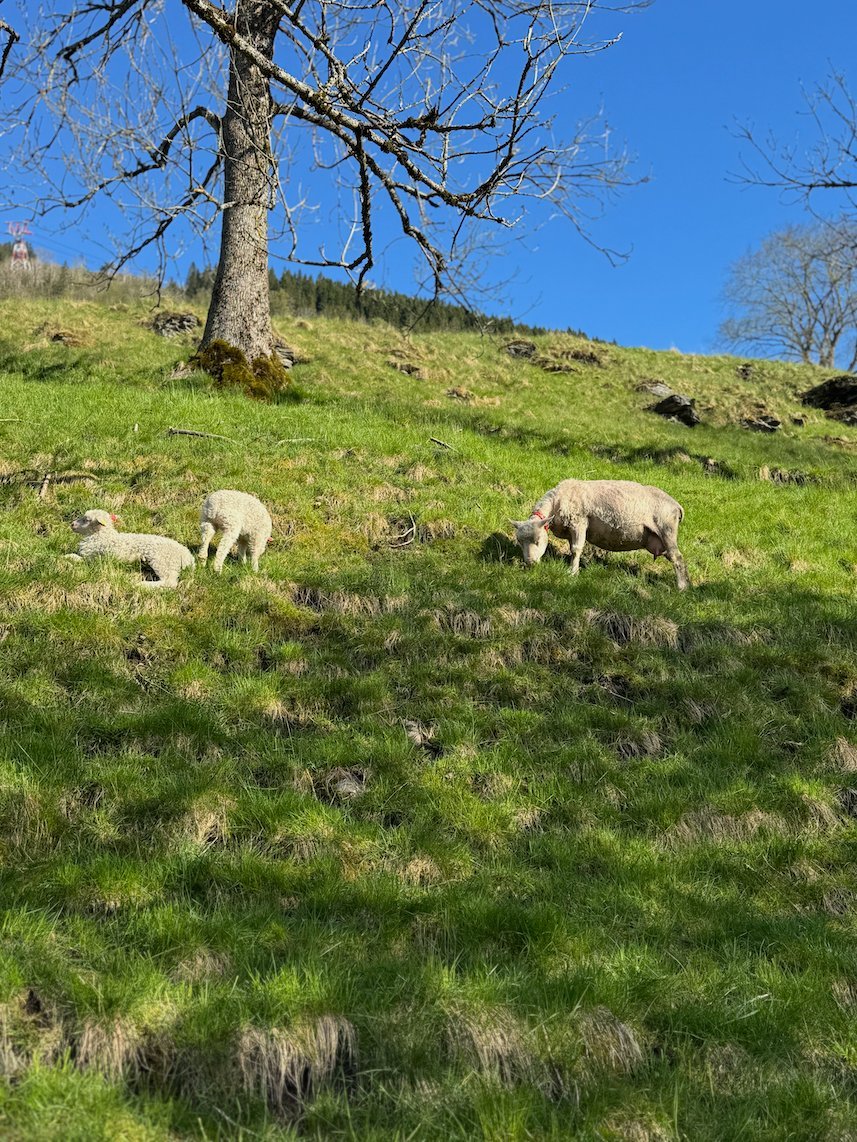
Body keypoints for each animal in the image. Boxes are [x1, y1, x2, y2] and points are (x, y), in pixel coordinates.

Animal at [67, 509, 195, 588]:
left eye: (86, 519)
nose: (72, 524)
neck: (102, 536)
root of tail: (187, 556)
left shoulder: (94, 558)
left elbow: (76, 558)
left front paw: (67, 557)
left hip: (163, 561)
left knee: (170, 582)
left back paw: (143, 585)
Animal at [510, 478, 689, 589]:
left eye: (538, 541)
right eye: (519, 542)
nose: (530, 563)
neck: (556, 502)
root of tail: (677, 505)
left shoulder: (579, 522)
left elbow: (576, 549)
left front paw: (572, 573)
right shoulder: (570, 529)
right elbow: (572, 549)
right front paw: (573, 566)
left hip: (667, 530)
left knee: (677, 558)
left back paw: (681, 587)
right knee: (674, 557)